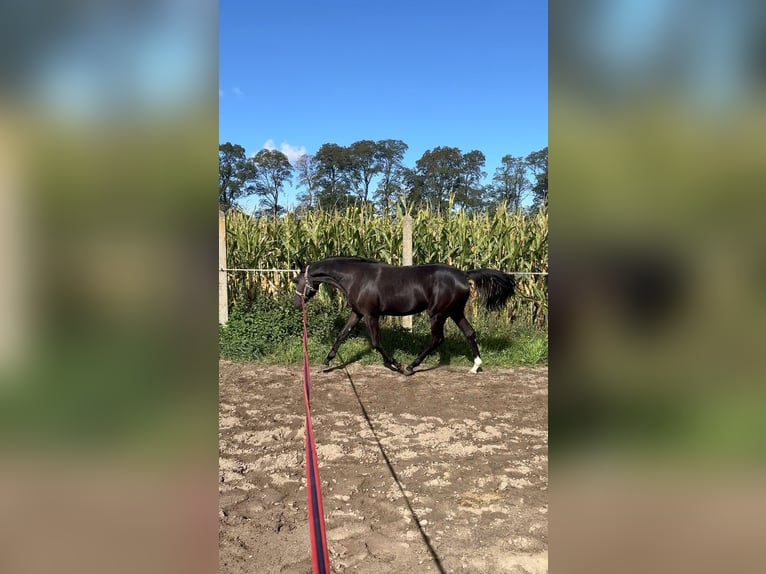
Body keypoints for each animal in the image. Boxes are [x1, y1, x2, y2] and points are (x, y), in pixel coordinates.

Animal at [293, 256, 516, 375]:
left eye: (296, 280)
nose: (296, 304)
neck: (356, 278)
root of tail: (463, 274)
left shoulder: (371, 315)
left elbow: (376, 343)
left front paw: (396, 364)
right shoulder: (357, 313)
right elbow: (342, 335)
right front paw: (326, 363)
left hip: (438, 314)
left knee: (437, 339)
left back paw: (410, 366)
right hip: (455, 312)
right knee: (469, 333)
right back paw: (475, 366)